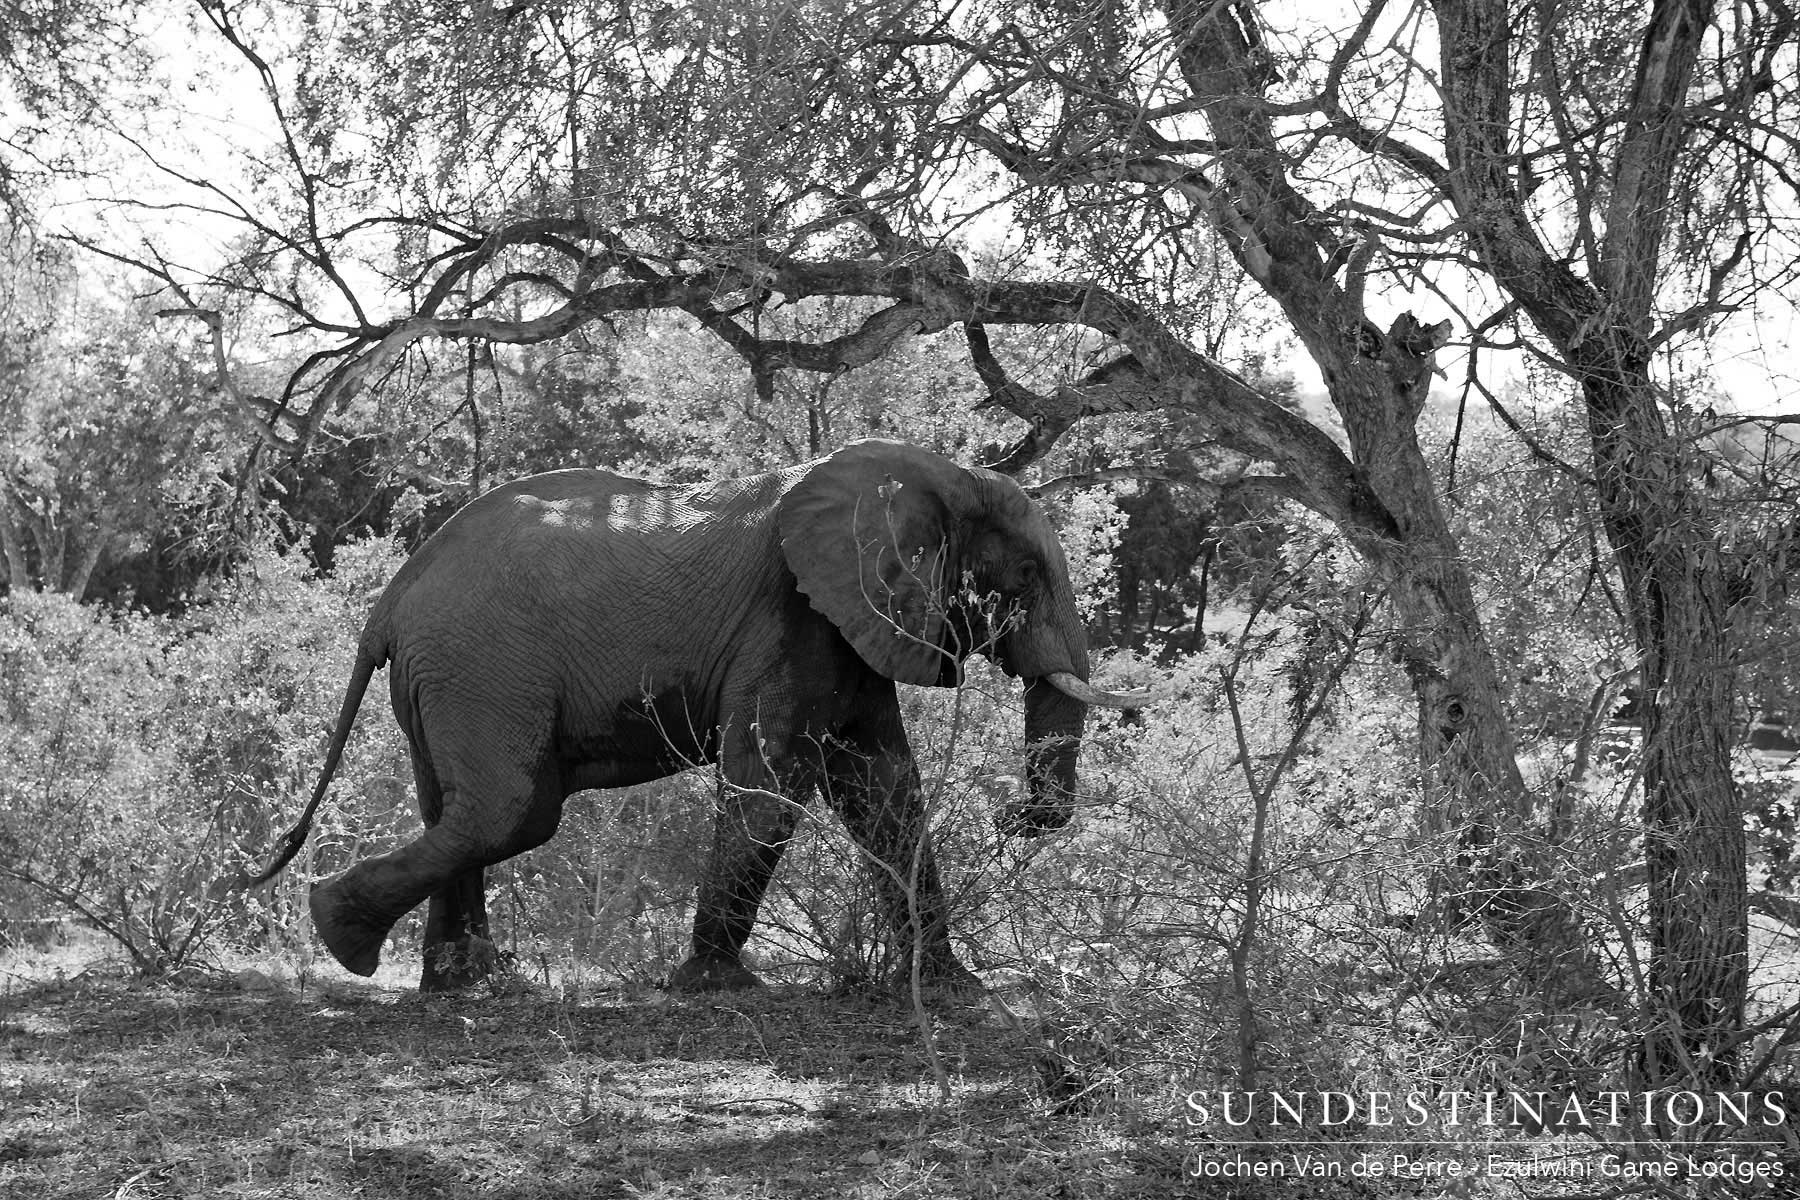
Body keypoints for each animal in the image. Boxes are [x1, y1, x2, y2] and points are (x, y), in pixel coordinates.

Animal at [247, 438, 1157, 993]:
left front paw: (949, 987)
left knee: (457, 809)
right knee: (512, 811)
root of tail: (391, 597)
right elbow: (773, 784)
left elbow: (886, 792)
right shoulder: (794, 615)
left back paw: (466, 982)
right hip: (480, 663)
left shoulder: (850, 623)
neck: (927, 472)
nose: (1018, 817)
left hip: (446, 675)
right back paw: (345, 938)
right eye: (1027, 576)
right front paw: (719, 988)